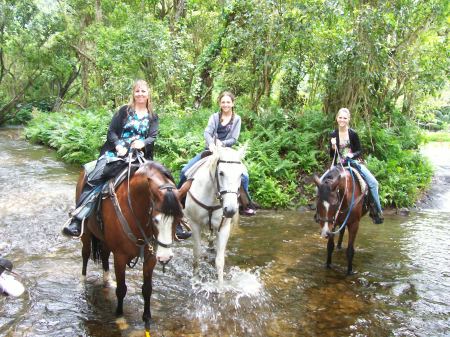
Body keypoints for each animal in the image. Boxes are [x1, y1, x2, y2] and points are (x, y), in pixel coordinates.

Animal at [77, 159, 183, 330]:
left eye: (179, 218)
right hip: (86, 233)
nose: (165, 257)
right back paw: (82, 282)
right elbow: (122, 289)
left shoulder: (150, 256)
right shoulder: (120, 256)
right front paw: (120, 318)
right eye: (156, 220)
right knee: (85, 254)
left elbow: (147, 289)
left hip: (105, 240)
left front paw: (147, 318)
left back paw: (108, 281)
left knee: (104, 255)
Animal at [183, 143, 246, 284]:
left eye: (241, 174)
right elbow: (197, 252)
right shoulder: (195, 224)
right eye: (221, 173)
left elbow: (219, 261)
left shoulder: (224, 228)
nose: (230, 210)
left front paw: (220, 286)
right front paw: (196, 279)